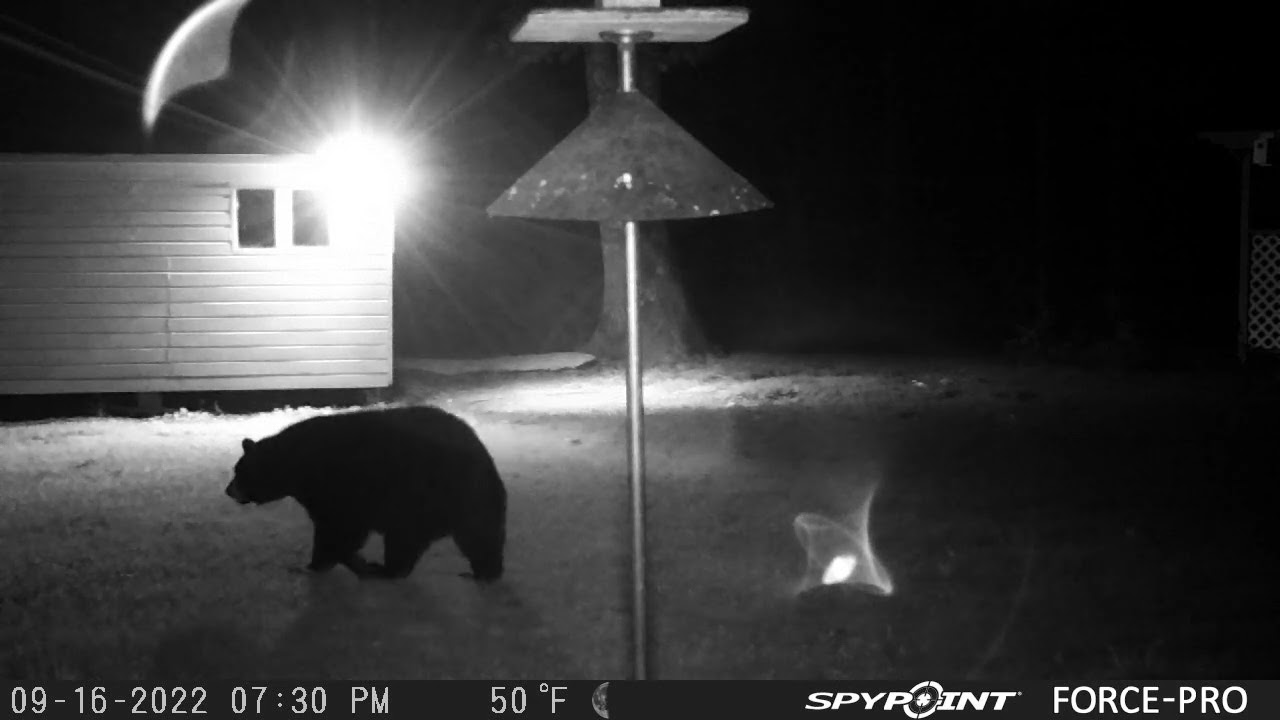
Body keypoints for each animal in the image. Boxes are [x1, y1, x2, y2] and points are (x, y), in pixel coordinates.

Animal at [225, 405, 507, 582]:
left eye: (240, 472)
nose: (228, 491)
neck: (298, 464)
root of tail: (484, 456)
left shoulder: (339, 486)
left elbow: (338, 529)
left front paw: (315, 565)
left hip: (422, 493)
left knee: (407, 537)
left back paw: (386, 570)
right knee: (478, 537)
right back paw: (484, 572)